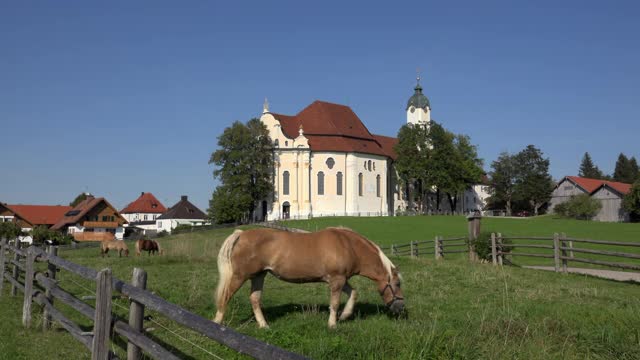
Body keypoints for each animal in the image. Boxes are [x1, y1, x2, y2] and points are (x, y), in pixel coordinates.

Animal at [215, 228, 404, 330]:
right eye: (397, 283)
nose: (401, 308)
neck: (348, 246)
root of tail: (241, 234)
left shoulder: (340, 279)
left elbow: (353, 293)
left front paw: (344, 315)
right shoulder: (337, 280)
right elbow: (335, 303)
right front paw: (332, 324)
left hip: (259, 275)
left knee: (254, 299)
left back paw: (264, 325)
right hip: (240, 276)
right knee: (225, 296)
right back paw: (217, 323)